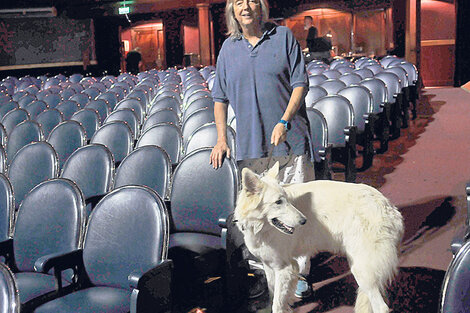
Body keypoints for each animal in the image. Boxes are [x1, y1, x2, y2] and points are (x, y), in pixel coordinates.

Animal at [235, 162, 404, 310]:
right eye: (278, 202)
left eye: (287, 200)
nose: (303, 221)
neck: (260, 228)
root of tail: (388, 206)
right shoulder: (270, 266)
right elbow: (273, 298)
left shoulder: (285, 268)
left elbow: (277, 305)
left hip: (362, 270)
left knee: (382, 307)